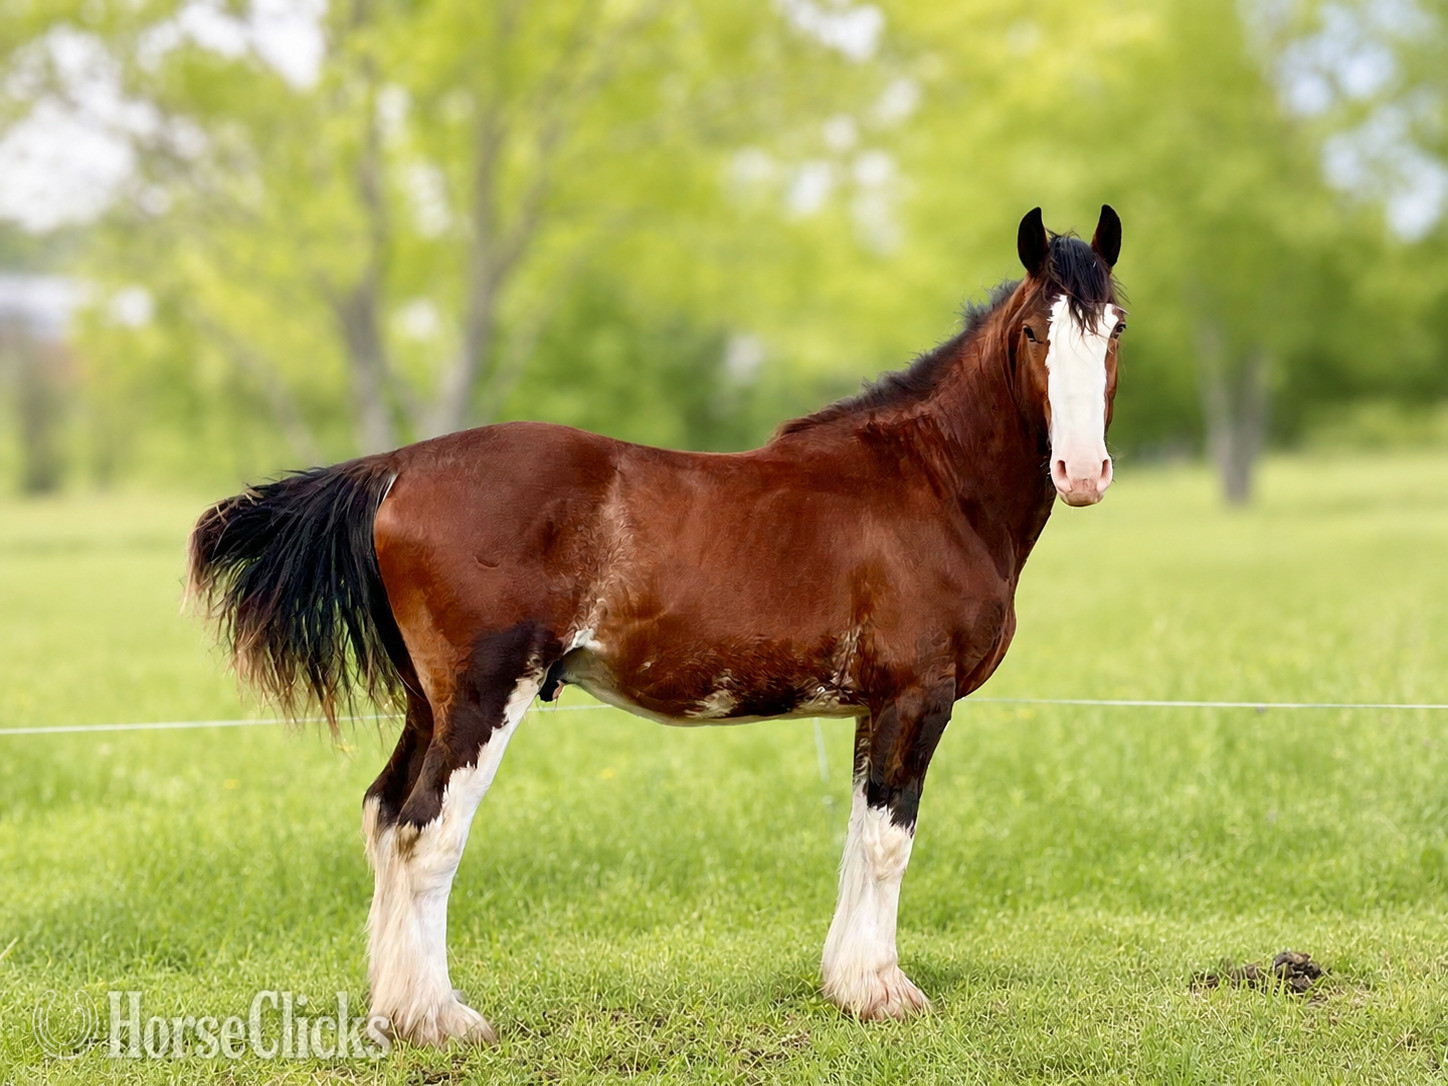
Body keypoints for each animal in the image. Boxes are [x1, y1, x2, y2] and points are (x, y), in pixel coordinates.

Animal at [187, 205, 1124, 1046]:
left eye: (1114, 327)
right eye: (1035, 333)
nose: (1082, 472)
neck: (931, 481)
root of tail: (400, 466)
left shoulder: (874, 709)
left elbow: (860, 838)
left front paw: (848, 984)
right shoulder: (915, 698)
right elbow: (891, 842)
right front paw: (884, 993)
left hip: (431, 706)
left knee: (385, 820)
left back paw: (395, 1012)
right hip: (483, 699)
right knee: (427, 834)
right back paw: (439, 1020)